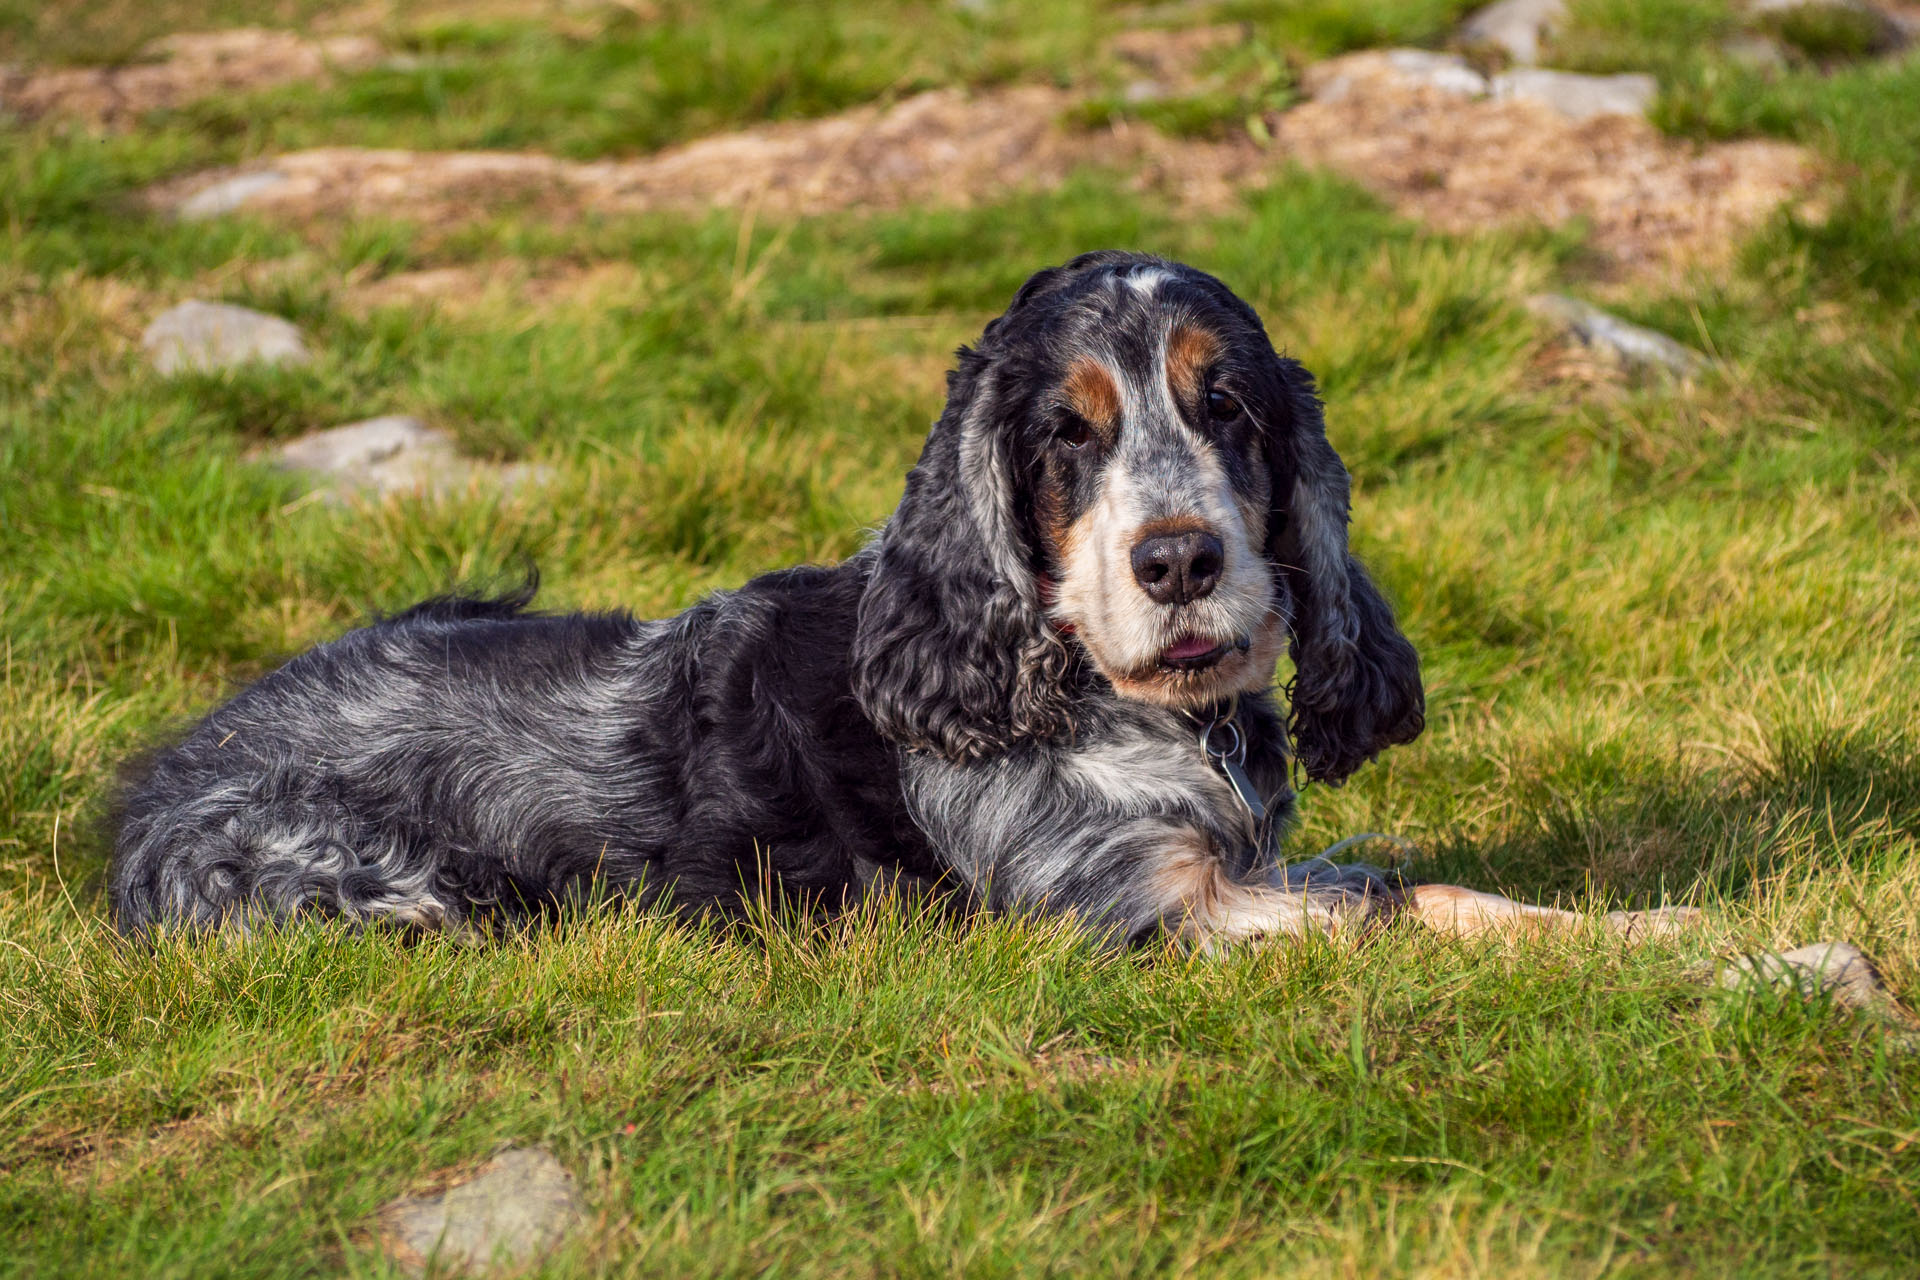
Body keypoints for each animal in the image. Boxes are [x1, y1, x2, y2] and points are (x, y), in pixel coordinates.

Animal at [108, 253, 1697, 951]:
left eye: (1229, 405)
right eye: (1065, 435)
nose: (1180, 560)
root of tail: (150, 780)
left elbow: (1427, 881)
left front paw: (1669, 931)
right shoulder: (1126, 908)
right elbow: (1396, 908)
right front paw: (1713, 952)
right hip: (389, 894)